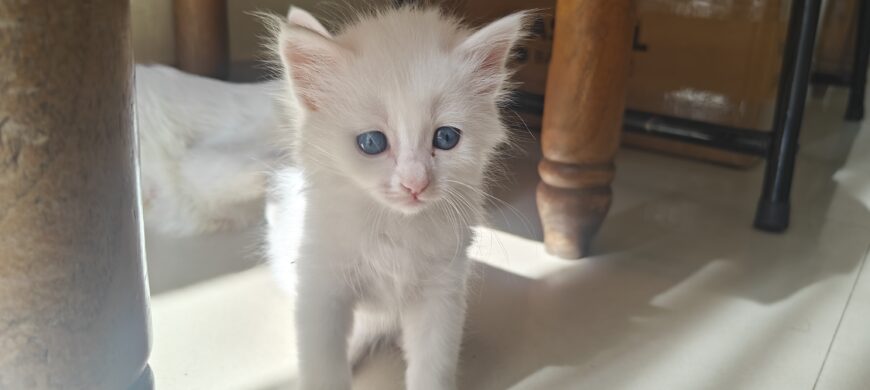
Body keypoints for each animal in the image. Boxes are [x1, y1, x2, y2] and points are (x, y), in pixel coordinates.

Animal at [268, 6, 524, 390]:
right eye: (371, 143)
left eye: (446, 138)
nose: (415, 183)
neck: (395, 228)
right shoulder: (321, 283)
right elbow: (322, 364)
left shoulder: (442, 290)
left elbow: (433, 365)